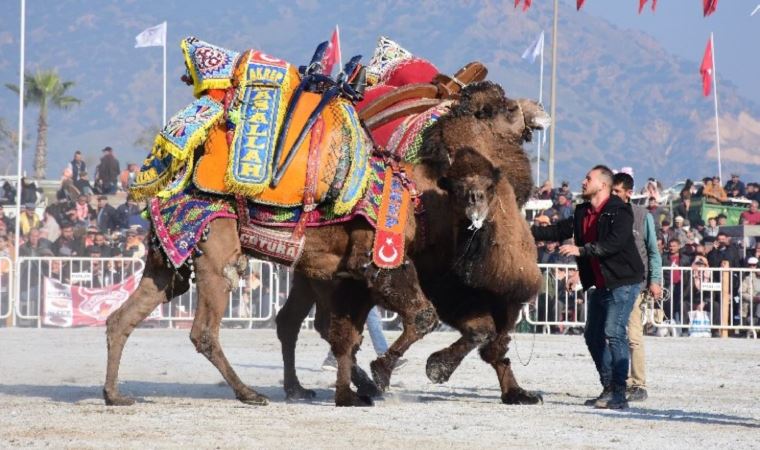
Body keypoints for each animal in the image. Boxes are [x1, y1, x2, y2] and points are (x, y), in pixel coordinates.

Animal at [276, 82, 548, 406]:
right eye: (508, 107)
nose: (539, 108)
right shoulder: (437, 278)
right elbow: (464, 327)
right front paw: (410, 368)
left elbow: (488, 334)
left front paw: (518, 392)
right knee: (321, 324)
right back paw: (351, 384)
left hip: (309, 271)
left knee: (293, 321)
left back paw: (300, 387)